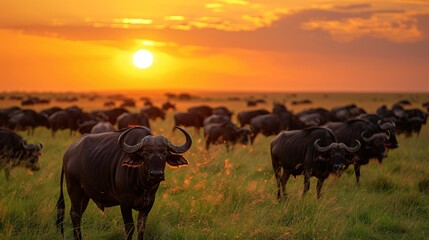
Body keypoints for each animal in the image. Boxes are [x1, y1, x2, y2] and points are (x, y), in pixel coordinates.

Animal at [55, 126, 192, 239]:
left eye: (164, 153)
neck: (143, 185)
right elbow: (129, 228)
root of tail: (68, 152)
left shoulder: (148, 204)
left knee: (77, 214)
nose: (157, 174)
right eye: (145, 153)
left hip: (85, 195)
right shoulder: (124, 203)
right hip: (74, 189)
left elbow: (141, 227)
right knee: (75, 215)